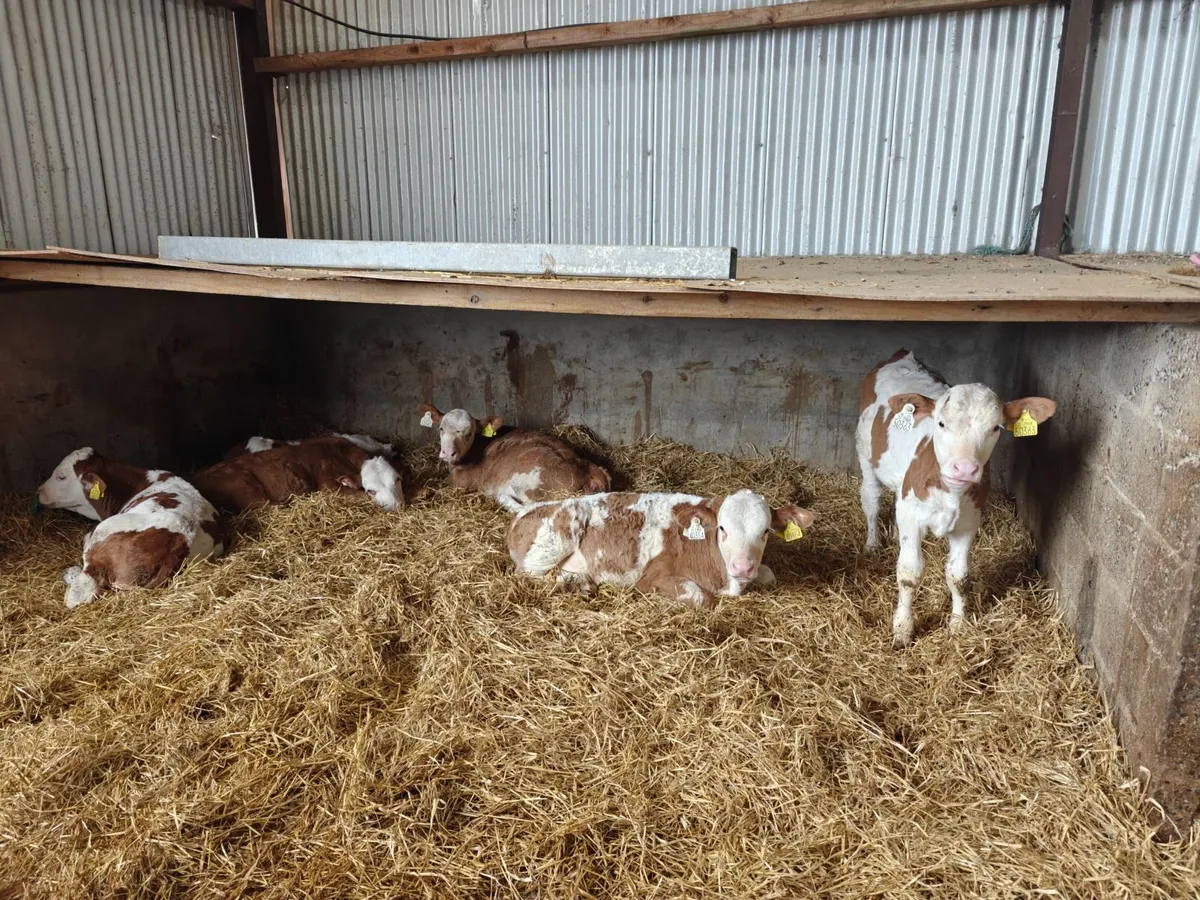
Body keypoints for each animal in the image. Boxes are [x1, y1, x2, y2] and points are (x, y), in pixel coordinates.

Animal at [35, 448, 225, 608]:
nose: (38, 491)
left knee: (79, 592)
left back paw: (70, 573)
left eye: (61, 476)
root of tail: (180, 541)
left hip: (103, 532)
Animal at [418, 404, 610, 513]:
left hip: (528, 483)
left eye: (469, 433)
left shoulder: (461, 480)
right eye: (441, 429)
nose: (447, 453)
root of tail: (591, 470)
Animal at [508, 489, 815, 608]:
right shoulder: (651, 578)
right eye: (722, 528)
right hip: (555, 538)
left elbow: (770, 574)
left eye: (765, 532)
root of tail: (526, 510)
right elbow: (700, 596)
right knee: (530, 575)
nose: (742, 566)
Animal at [856, 349, 1057, 646]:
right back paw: (872, 543)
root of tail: (901, 355)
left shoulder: (969, 521)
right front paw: (902, 629)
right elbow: (909, 573)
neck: (950, 492)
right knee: (871, 498)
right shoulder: (912, 514)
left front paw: (958, 626)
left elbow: (958, 577)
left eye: (996, 428)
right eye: (941, 423)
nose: (964, 468)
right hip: (865, 454)